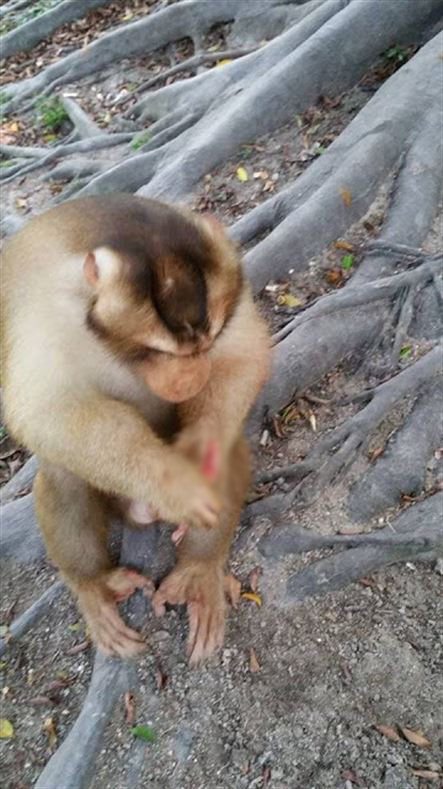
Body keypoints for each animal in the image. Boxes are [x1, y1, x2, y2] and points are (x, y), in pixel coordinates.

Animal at [0, 194, 271, 663]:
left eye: (205, 343)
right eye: (155, 351)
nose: (191, 379)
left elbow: (244, 353)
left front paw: (201, 446)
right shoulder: (43, 316)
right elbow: (46, 410)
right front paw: (173, 485)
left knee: (232, 448)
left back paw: (199, 570)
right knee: (63, 472)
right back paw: (95, 584)